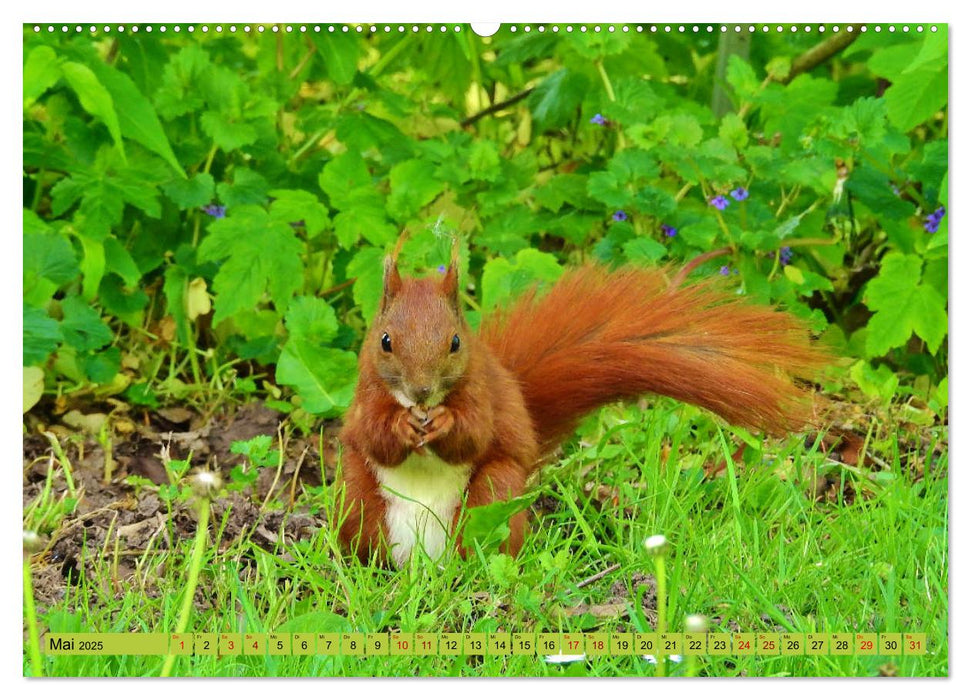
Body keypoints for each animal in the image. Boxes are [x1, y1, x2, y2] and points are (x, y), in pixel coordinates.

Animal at [336, 242, 828, 568]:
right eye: (385, 341)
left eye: (455, 342)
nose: (421, 392)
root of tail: (423, 565)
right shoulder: (364, 398)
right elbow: (372, 435)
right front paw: (400, 427)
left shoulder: (483, 392)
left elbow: (474, 432)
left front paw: (443, 422)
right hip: (359, 501)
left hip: (493, 494)